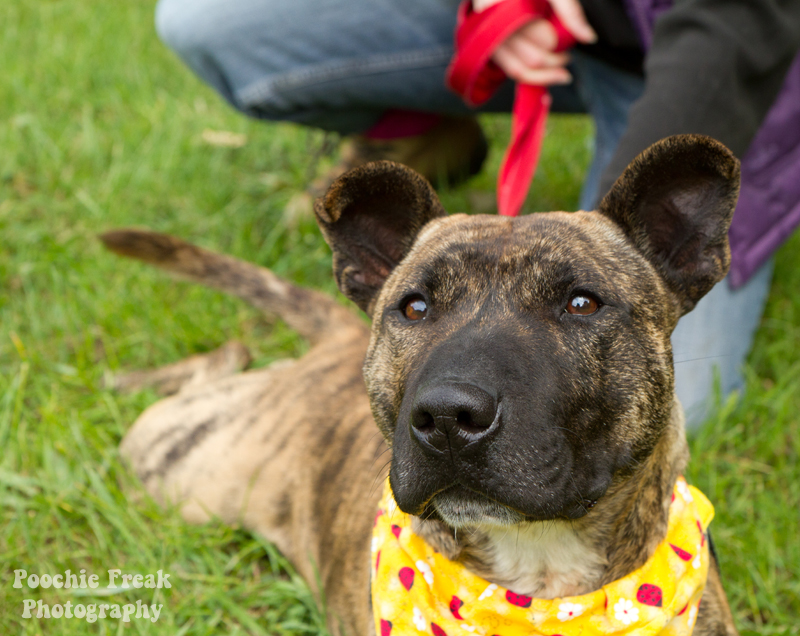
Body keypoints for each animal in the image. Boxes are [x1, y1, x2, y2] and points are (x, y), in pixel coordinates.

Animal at [103, 133, 740, 632]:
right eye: (414, 307)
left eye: (582, 303)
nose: (448, 417)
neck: (538, 587)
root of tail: (340, 338)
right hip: (179, 475)